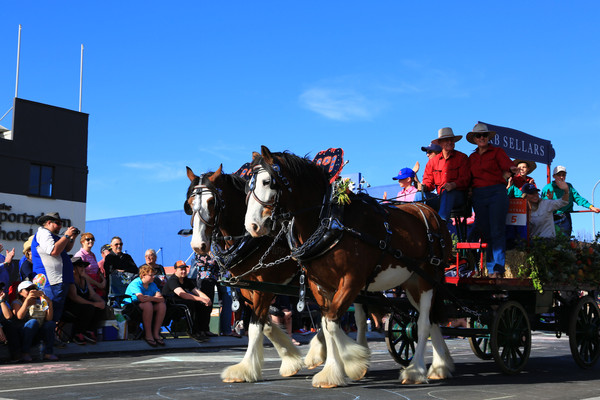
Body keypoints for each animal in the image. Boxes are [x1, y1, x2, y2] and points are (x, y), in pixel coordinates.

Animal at [241, 147, 452, 388]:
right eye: (248, 186)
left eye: (267, 182)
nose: (252, 226)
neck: (330, 221)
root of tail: (432, 213)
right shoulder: (320, 285)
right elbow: (327, 324)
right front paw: (334, 370)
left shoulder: (352, 280)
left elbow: (333, 324)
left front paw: (351, 361)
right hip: (412, 282)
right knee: (433, 320)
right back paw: (440, 366)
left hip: (428, 279)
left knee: (423, 323)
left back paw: (416, 370)